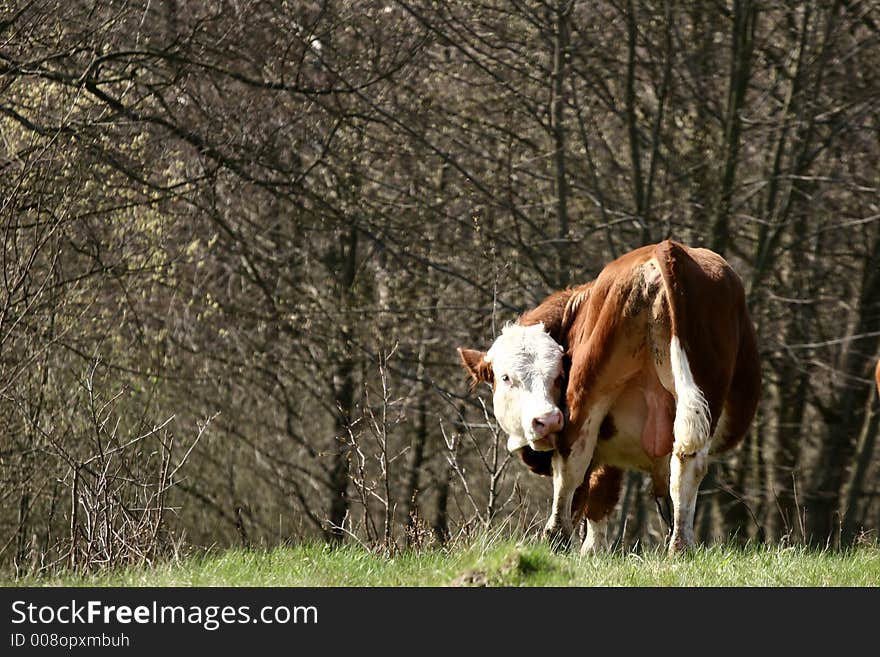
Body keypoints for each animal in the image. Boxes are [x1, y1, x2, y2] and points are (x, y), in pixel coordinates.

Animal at [458, 241, 760, 552]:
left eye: (559, 375)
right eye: (506, 377)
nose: (548, 420)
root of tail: (664, 249)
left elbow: (594, 495)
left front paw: (592, 550)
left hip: (584, 396)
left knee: (571, 464)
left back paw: (557, 536)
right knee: (687, 463)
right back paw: (680, 546)